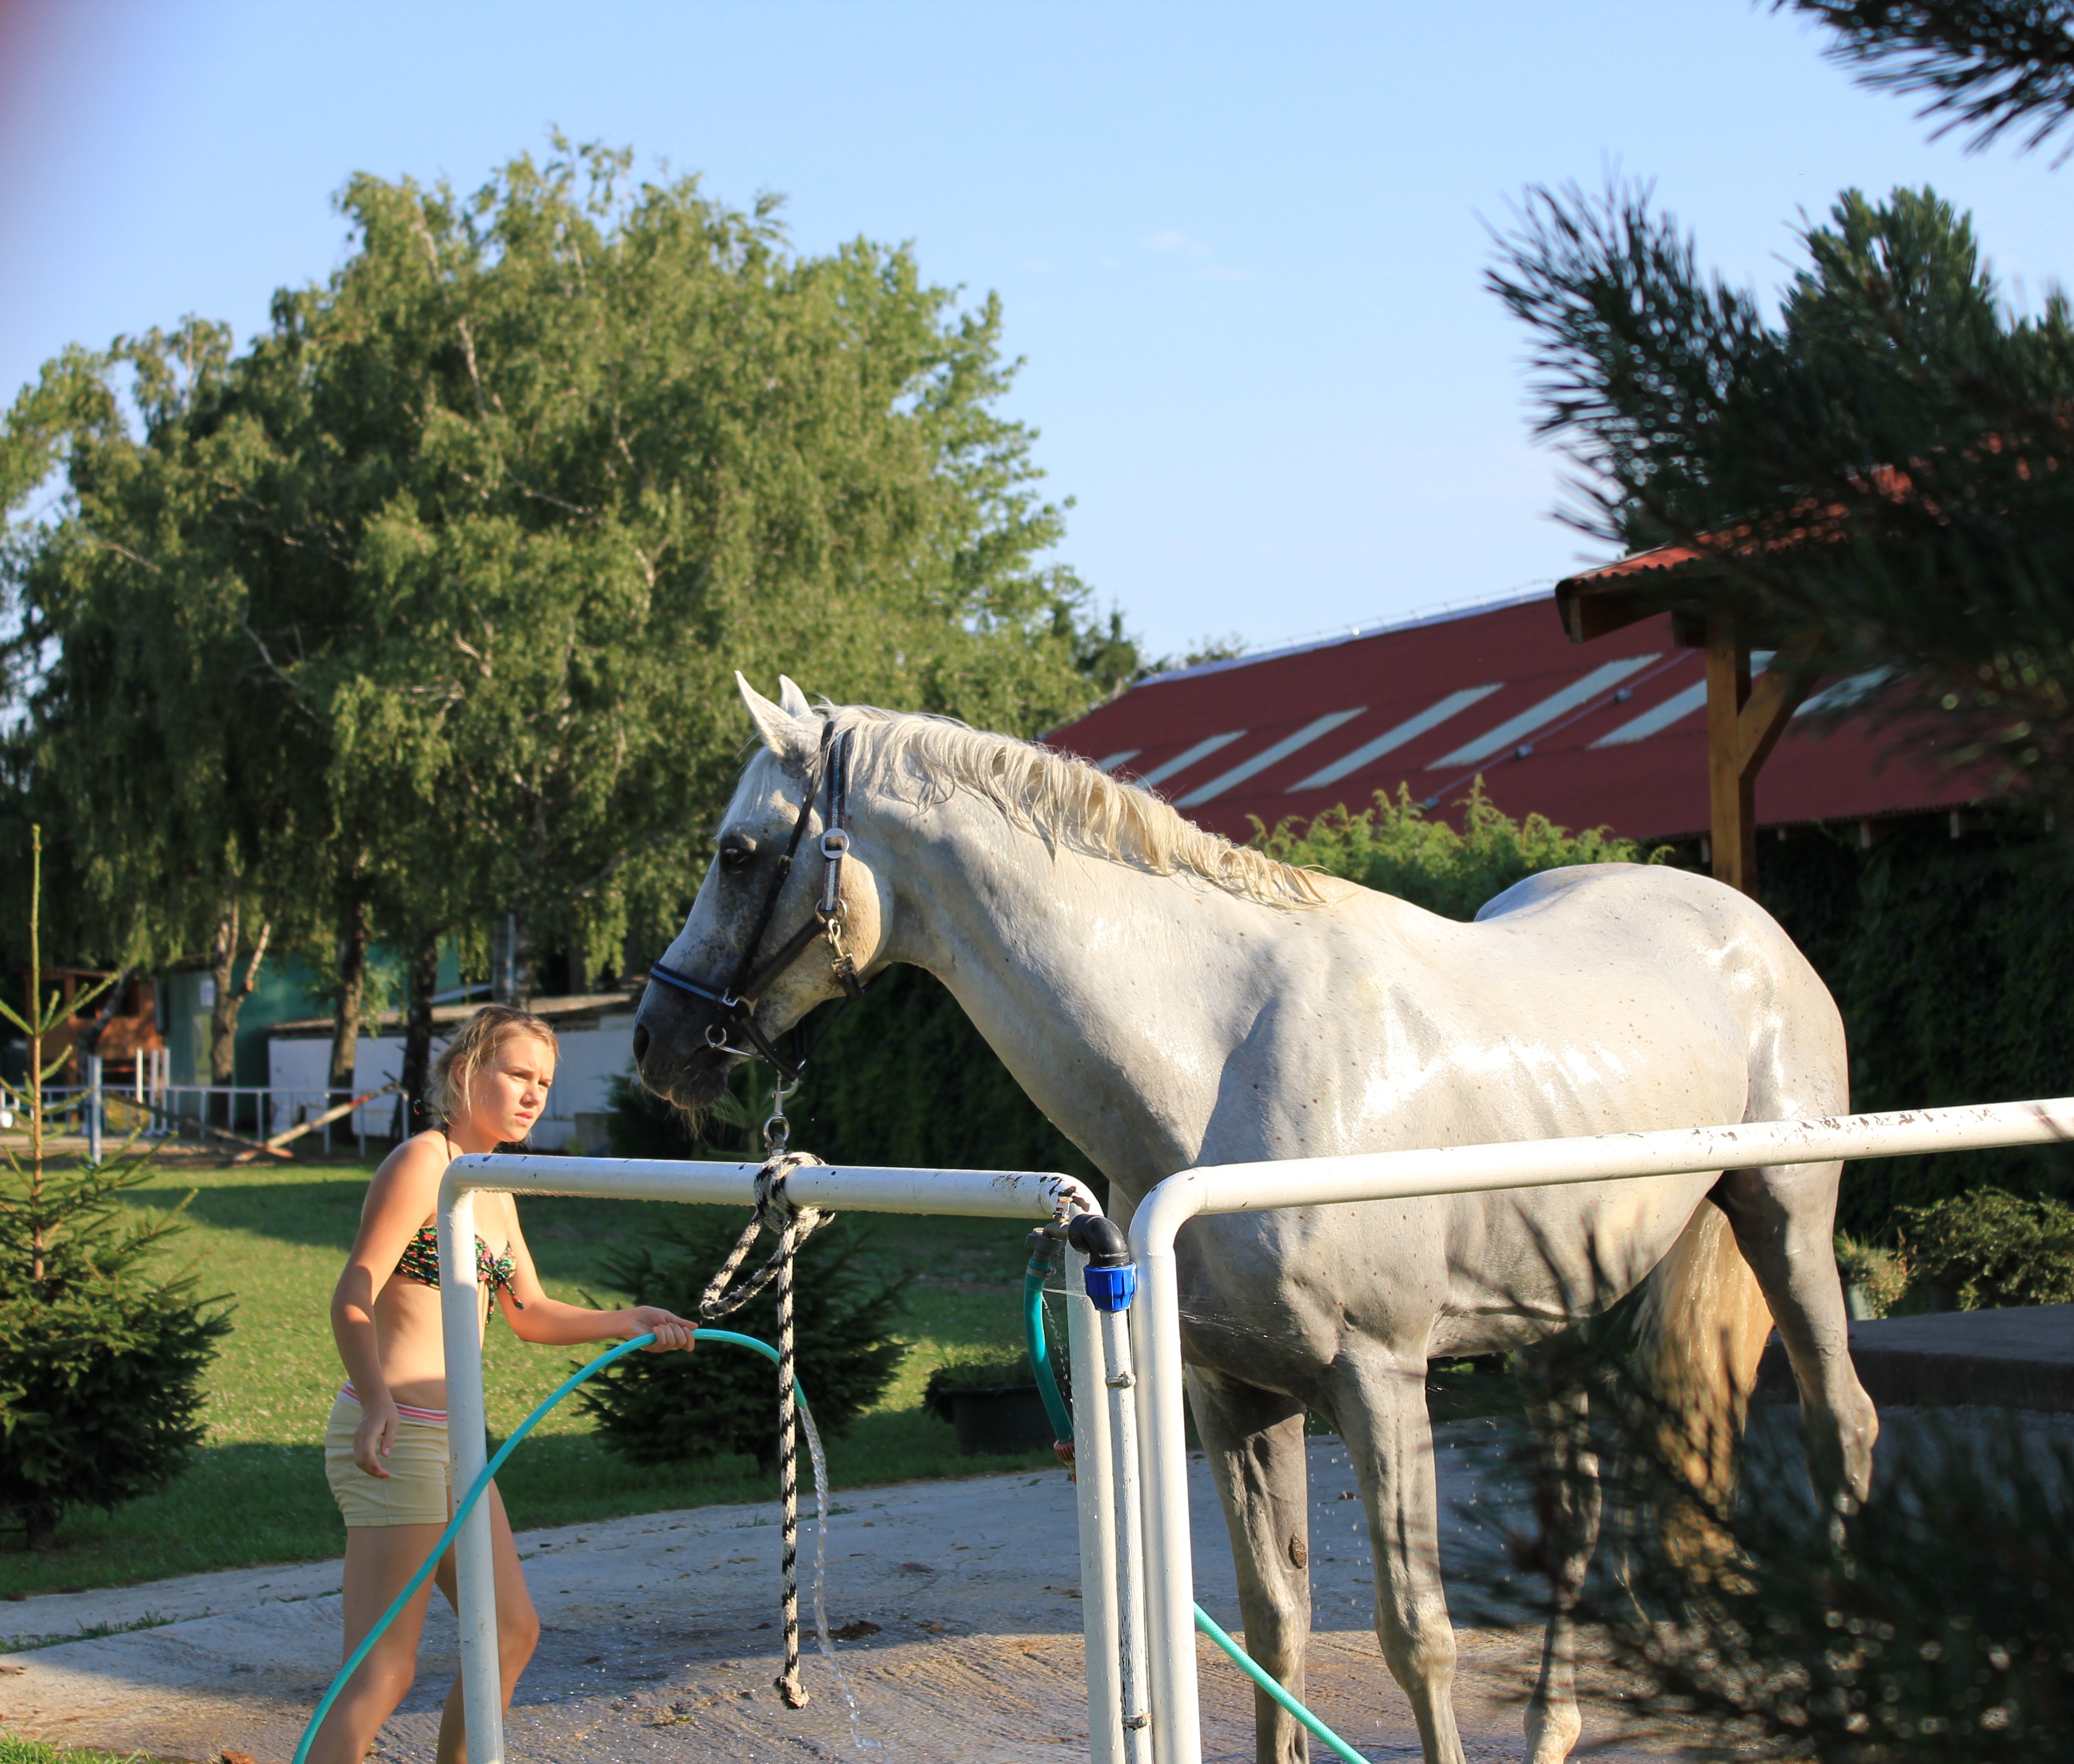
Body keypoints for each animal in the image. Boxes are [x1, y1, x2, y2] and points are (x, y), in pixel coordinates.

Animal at [635, 684, 1883, 1764]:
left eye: (736, 853)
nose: (658, 1040)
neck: (1219, 1055)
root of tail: (1743, 922)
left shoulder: (1380, 1380)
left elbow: (1415, 1635)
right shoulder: (1234, 1391)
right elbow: (1275, 1620)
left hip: (1784, 1224)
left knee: (1843, 1428)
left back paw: (1847, 1699)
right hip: (1557, 1321)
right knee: (1578, 1510)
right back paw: (1556, 1731)